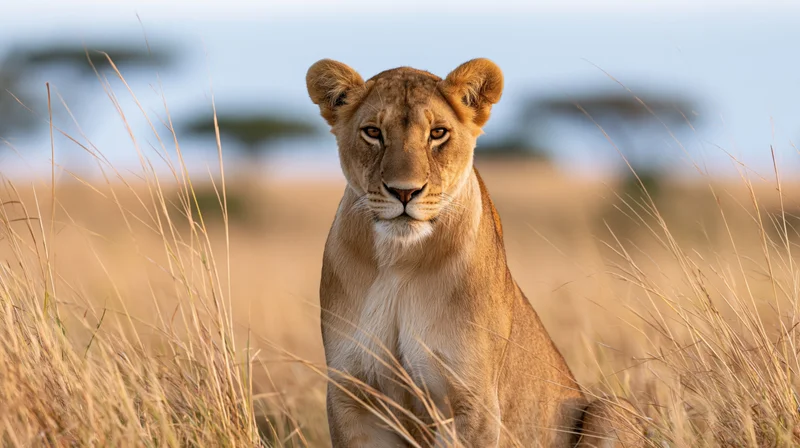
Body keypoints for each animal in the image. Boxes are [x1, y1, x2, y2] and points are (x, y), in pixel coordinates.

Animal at [306, 58, 643, 447]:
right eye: (373, 132)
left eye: (438, 133)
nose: (404, 192)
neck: (398, 261)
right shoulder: (350, 396)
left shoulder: (473, 399)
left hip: (614, 408)